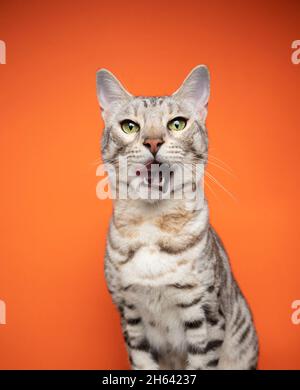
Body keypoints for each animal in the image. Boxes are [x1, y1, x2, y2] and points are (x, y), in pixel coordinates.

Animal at [95, 65, 258, 370]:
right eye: (130, 126)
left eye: (177, 124)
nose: (153, 141)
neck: (151, 226)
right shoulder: (130, 315)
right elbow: (143, 363)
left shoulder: (205, 316)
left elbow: (200, 364)